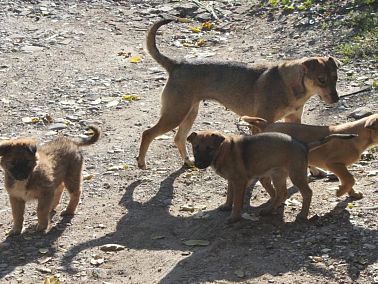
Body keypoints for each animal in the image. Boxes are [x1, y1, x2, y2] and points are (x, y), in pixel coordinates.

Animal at [137, 18, 342, 170]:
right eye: (321, 79)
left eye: (335, 77)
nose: (336, 99)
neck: (291, 85)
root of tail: (176, 64)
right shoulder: (260, 123)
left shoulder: (293, 119)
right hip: (175, 114)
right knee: (148, 133)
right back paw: (141, 162)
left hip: (189, 113)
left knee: (178, 138)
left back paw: (188, 162)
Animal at [186, 130, 354, 223]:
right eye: (196, 148)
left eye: (210, 148)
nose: (198, 164)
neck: (222, 151)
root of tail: (304, 145)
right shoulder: (232, 181)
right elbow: (230, 195)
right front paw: (227, 206)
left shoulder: (239, 181)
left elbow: (237, 202)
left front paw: (234, 217)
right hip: (276, 175)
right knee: (281, 193)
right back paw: (268, 210)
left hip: (295, 174)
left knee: (306, 192)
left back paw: (302, 215)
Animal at [242, 113, 378, 200]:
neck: (358, 136)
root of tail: (267, 125)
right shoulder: (333, 164)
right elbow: (350, 178)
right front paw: (340, 192)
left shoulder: (340, 167)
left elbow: (346, 179)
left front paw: (352, 194)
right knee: (264, 180)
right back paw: (274, 196)